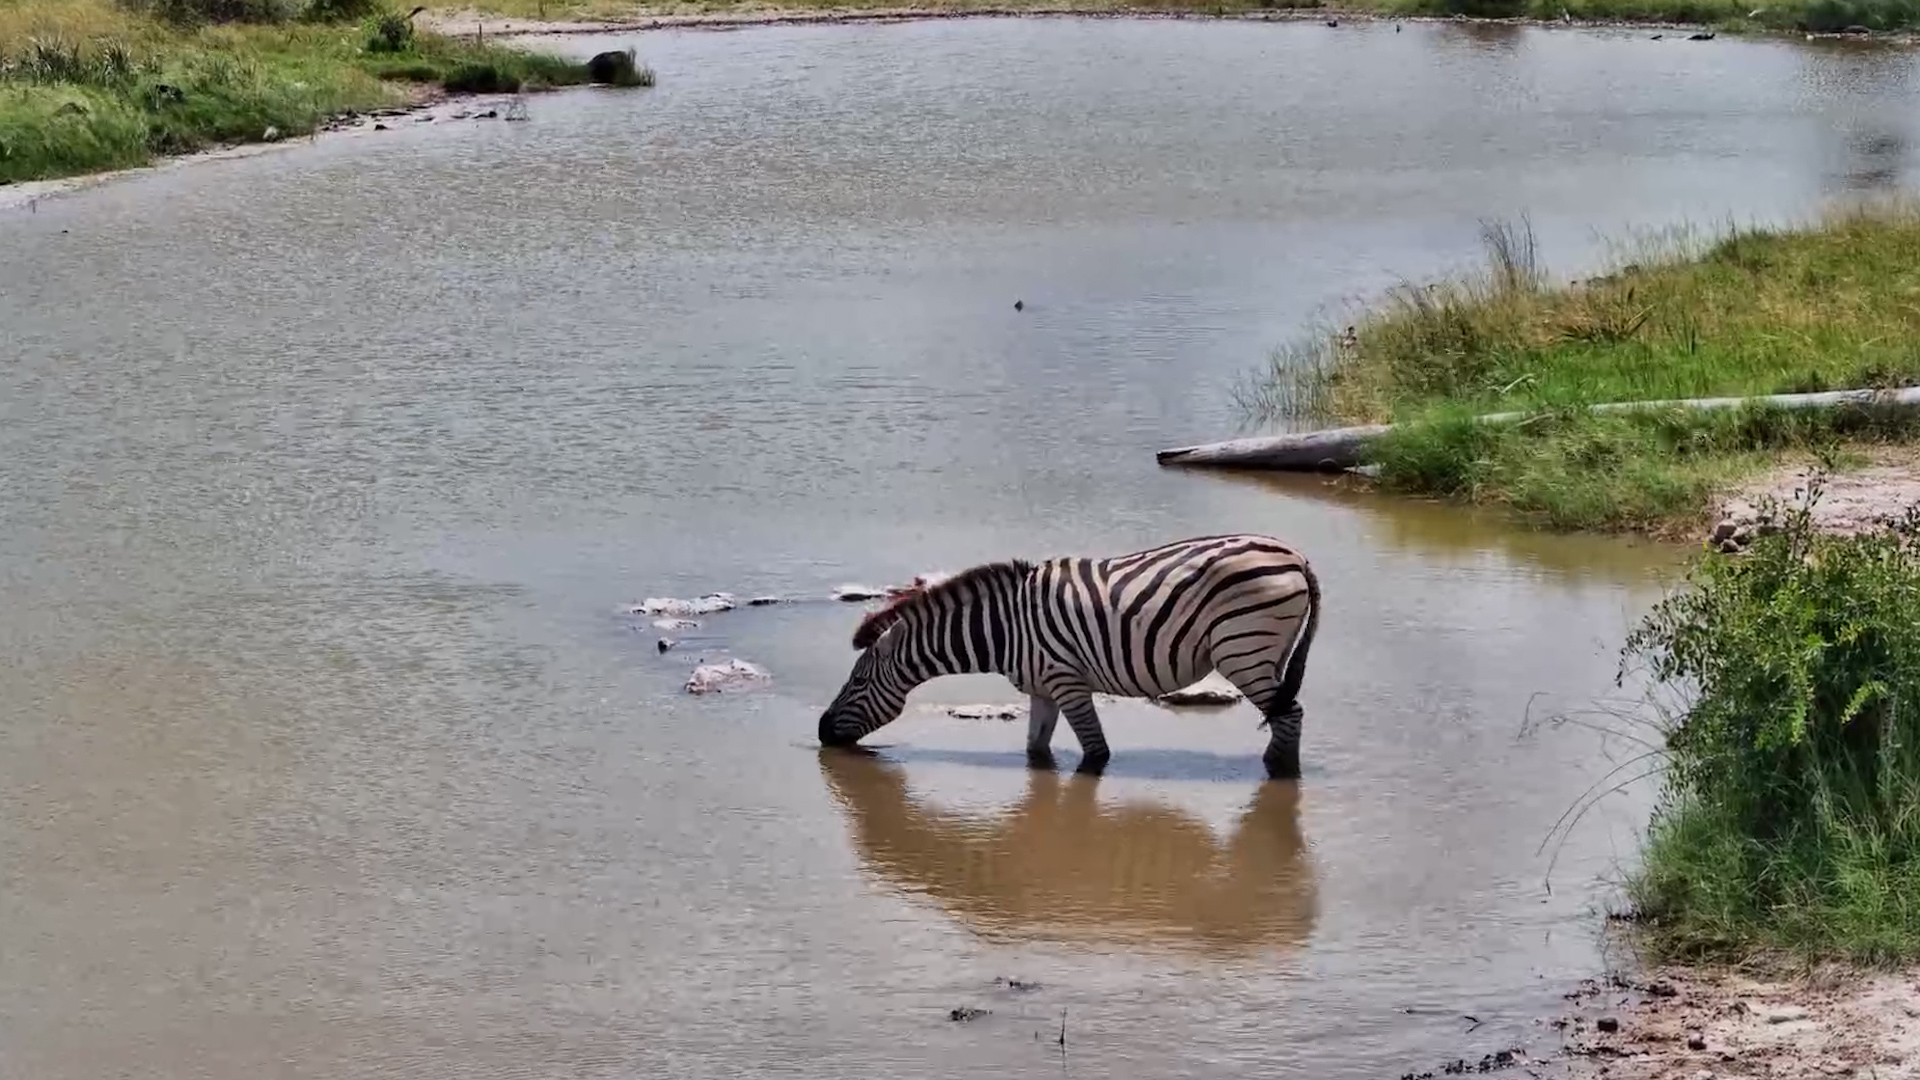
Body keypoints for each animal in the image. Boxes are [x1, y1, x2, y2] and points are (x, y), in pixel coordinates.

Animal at [816, 534, 1322, 780]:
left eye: (858, 681)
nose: (821, 731)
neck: (1005, 629)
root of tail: (1294, 554)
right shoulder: (1042, 688)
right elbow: (1035, 750)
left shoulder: (1067, 681)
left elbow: (1097, 751)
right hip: (1268, 654)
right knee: (1286, 715)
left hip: (1244, 650)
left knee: (1290, 715)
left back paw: (1277, 775)